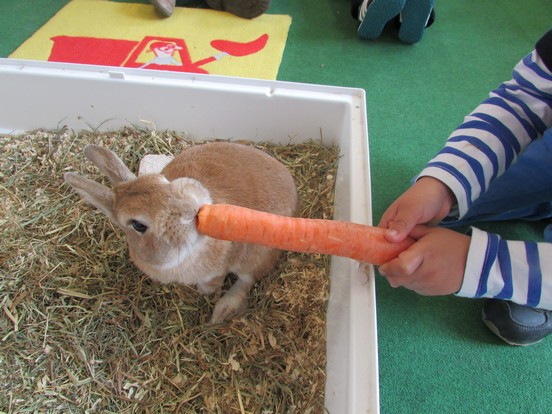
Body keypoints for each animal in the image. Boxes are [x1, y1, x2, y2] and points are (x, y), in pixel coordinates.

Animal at [64, 142, 298, 324]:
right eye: (138, 225)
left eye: (163, 181)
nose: (190, 209)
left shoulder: (219, 269)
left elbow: (215, 282)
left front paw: (206, 293)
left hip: (257, 256)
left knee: (247, 281)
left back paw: (221, 312)